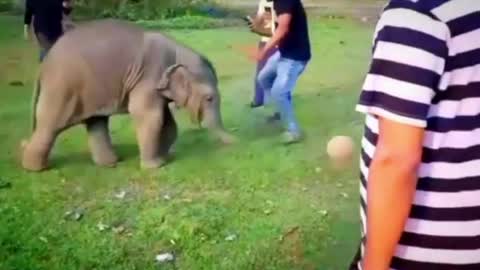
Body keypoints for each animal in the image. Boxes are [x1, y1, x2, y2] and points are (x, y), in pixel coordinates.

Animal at [21, 19, 235, 172]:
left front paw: (164, 158)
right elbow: (150, 116)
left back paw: (110, 163)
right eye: (209, 98)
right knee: (50, 123)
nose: (236, 142)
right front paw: (155, 166)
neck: (178, 51)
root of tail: (45, 62)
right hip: (62, 88)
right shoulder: (149, 76)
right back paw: (35, 169)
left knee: (96, 122)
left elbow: (168, 123)